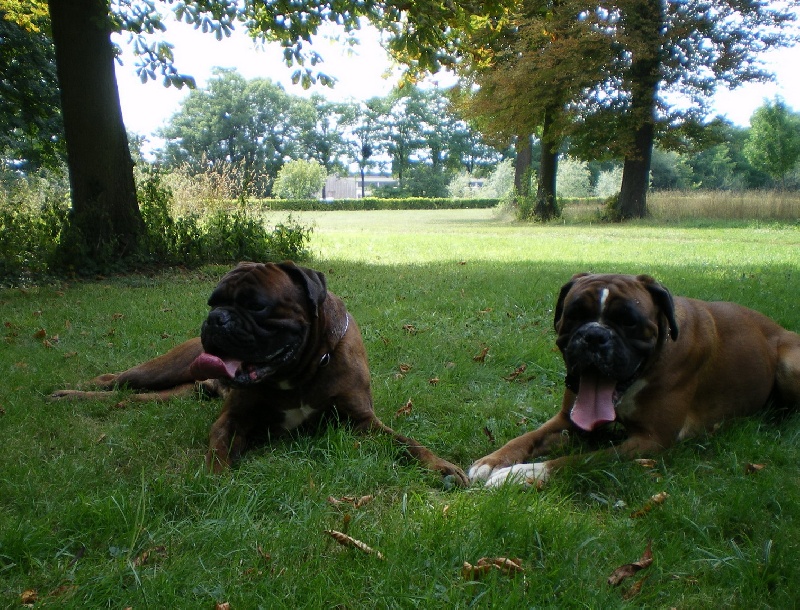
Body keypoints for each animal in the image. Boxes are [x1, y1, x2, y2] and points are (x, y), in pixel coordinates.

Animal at [53, 261, 468, 485]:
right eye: (213, 302)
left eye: (256, 306)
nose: (215, 319)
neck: (300, 372)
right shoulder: (236, 418)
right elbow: (220, 444)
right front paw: (217, 477)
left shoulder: (362, 421)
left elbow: (407, 443)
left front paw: (442, 467)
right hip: (159, 370)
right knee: (117, 381)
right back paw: (71, 392)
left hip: (172, 393)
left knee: (135, 398)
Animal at [468, 272, 800, 487]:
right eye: (575, 315)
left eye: (629, 321)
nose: (594, 335)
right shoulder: (566, 420)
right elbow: (526, 437)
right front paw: (492, 461)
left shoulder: (650, 441)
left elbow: (581, 459)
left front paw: (523, 474)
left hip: (789, 364)